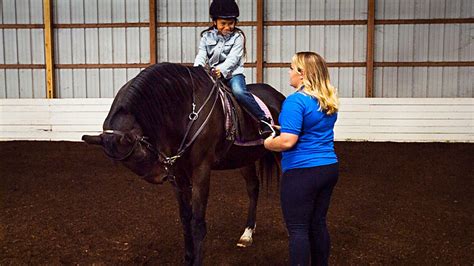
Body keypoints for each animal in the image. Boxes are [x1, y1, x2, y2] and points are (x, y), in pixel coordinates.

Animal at [81, 63, 286, 264]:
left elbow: (197, 222)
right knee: (253, 188)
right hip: (244, 159)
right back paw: (247, 233)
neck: (187, 111)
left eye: (139, 153)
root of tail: (278, 96)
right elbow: (185, 218)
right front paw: (188, 257)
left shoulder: (201, 170)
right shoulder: (178, 173)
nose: (162, 176)